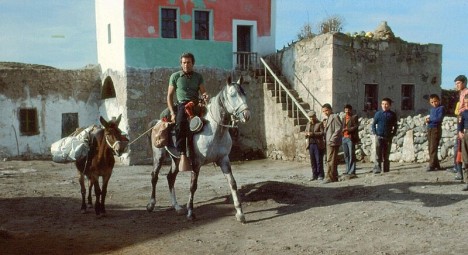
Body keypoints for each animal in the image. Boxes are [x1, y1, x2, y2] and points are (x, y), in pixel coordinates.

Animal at [147, 76, 250, 223]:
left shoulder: (224, 160)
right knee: (154, 177)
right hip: (159, 156)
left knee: (170, 178)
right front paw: (190, 213)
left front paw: (240, 213)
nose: (246, 115)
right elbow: (193, 186)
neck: (214, 130)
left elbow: (233, 183)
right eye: (232, 94)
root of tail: (157, 122)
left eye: (244, 93)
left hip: (176, 160)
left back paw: (177, 207)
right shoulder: (197, 162)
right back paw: (151, 205)